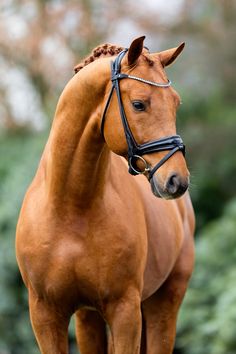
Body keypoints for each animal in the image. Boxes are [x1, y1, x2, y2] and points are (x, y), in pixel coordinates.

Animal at [15, 36, 195, 354]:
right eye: (138, 104)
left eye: (175, 102)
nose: (177, 181)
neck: (71, 207)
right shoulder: (45, 315)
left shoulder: (125, 311)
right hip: (89, 319)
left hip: (164, 302)